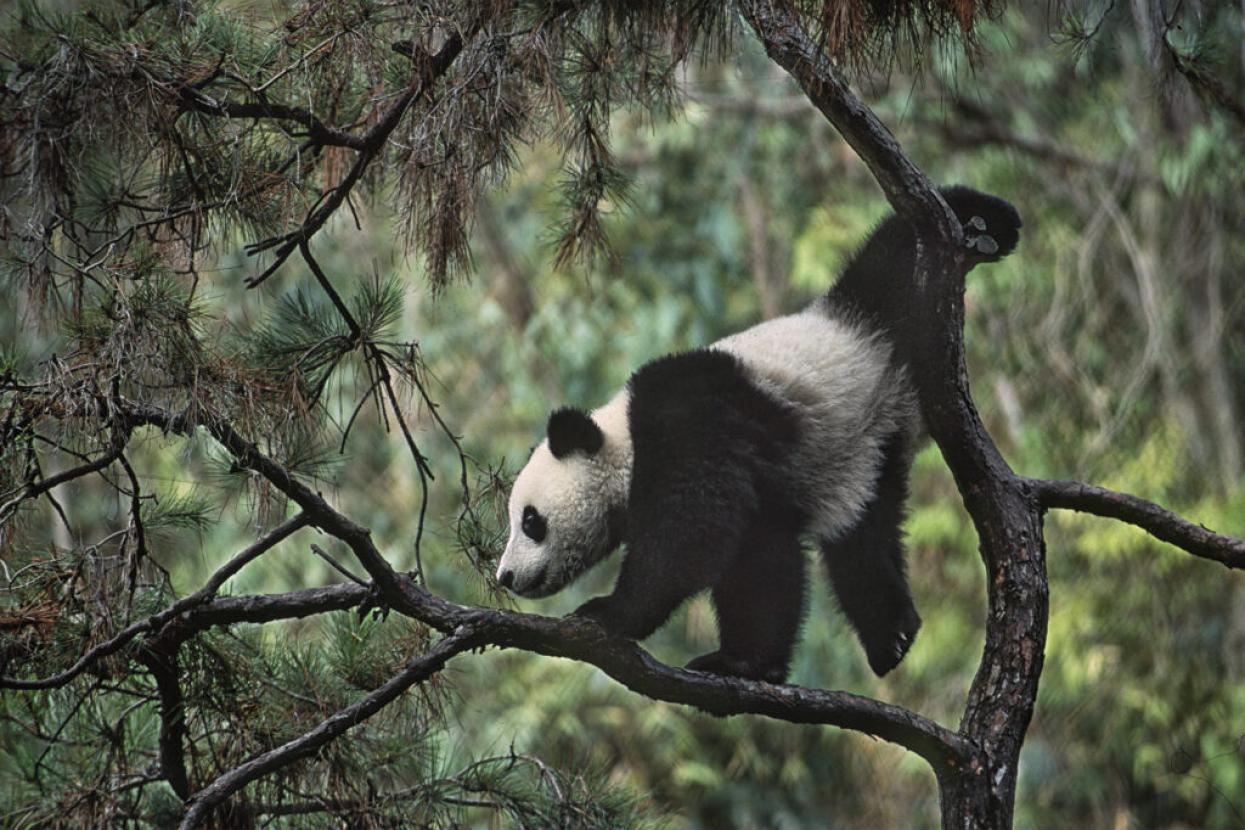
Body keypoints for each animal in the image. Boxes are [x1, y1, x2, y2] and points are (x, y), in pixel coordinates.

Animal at [496, 187, 1021, 683]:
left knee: (894, 253)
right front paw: (748, 662)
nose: (506, 576)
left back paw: (982, 226)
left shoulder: (688, 421)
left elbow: (693, 534)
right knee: (863, 534)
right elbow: (762, 558)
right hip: (866, 449)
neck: (620, 437)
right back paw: (892, 633)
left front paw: (609, 614)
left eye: (531, 521)